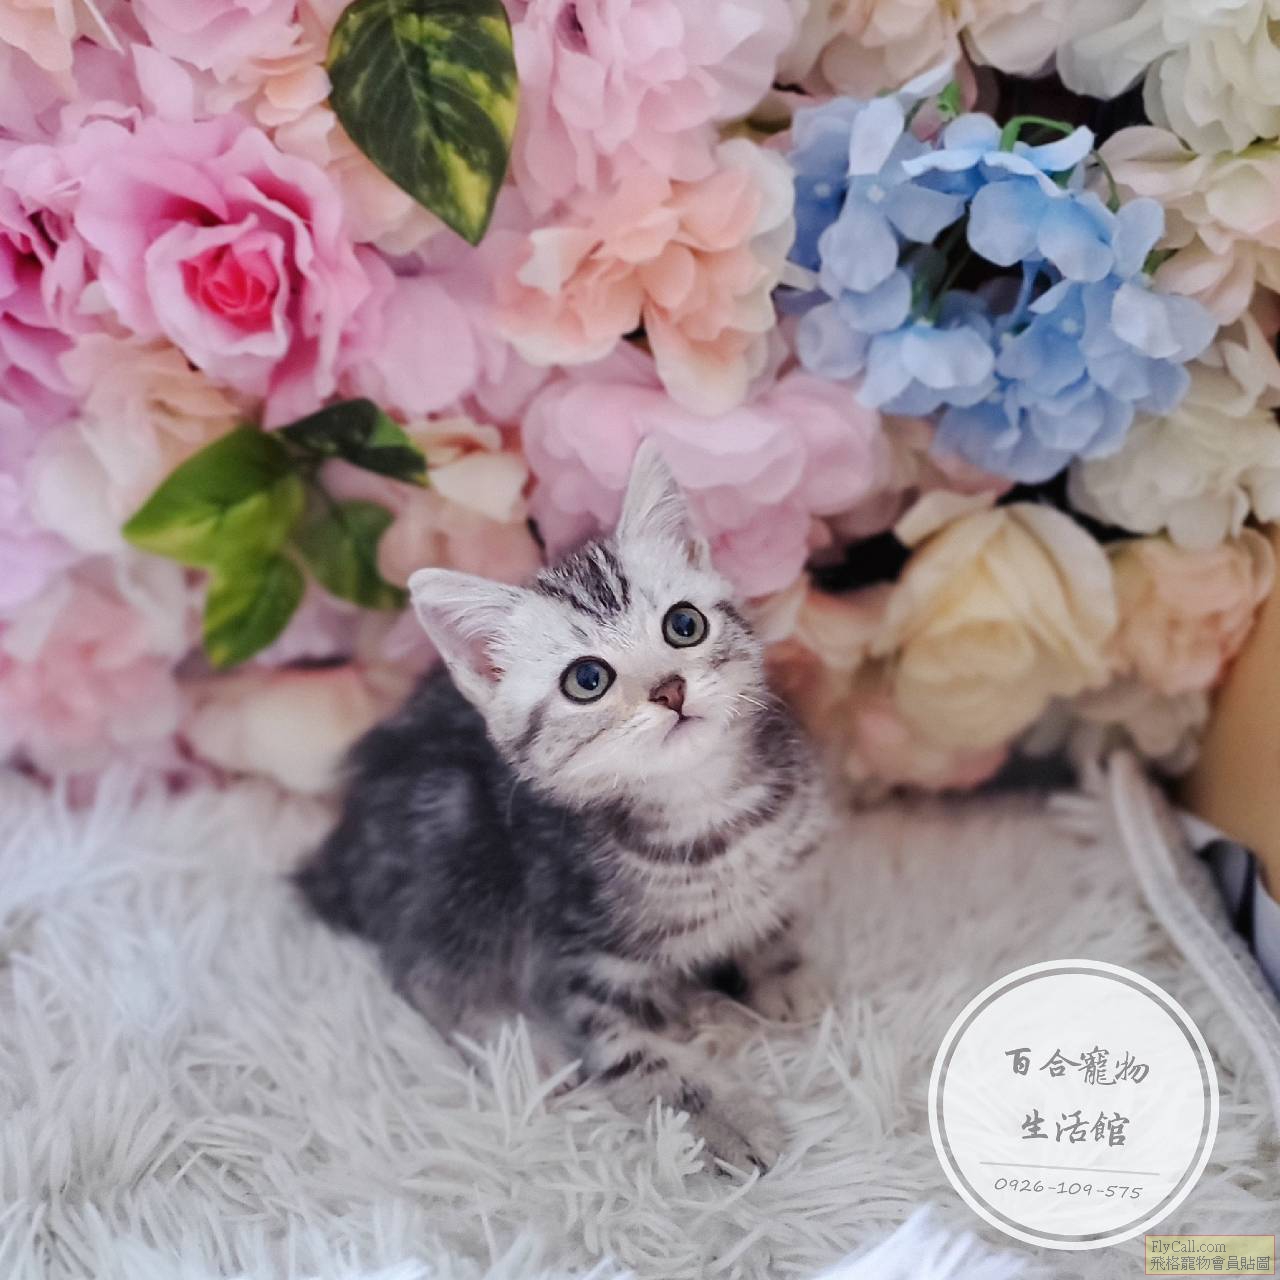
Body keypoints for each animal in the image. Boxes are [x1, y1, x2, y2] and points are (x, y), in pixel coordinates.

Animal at [294, 444, 832, 1170]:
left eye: (684, 625)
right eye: (588, 679)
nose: (669, 689)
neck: (705, 813)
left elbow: (775, 914)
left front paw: (785, 968)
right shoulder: (576, 960)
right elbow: (640, 1058)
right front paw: (728, 1117)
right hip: (457, 855)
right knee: (425, 972)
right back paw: (525, 1055)